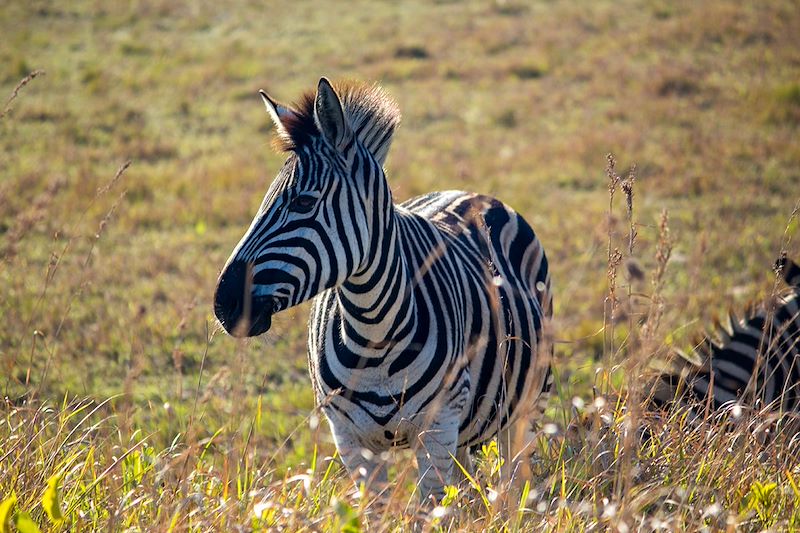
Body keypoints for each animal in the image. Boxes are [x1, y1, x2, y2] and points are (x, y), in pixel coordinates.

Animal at [209, 78, 552, 498]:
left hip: (527, 403)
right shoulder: (350, 440)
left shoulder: (437, 428)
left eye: (304, 202)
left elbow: (432, 507)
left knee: (515, 481)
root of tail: (470, 193)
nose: (224, 303)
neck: (373, 332)